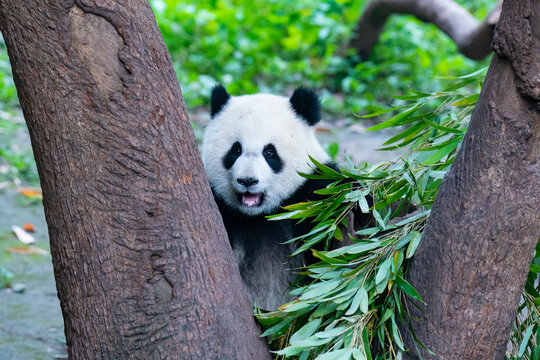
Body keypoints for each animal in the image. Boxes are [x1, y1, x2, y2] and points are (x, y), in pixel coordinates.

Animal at [200, 85, 340, 310]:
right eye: (235, 150)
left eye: (269, 153)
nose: (248, 180)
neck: (258, 215)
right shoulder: (218, 202)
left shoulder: (312, 193)